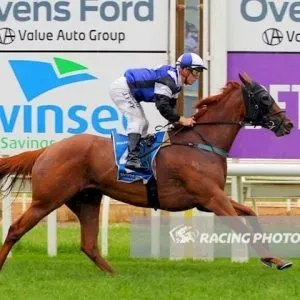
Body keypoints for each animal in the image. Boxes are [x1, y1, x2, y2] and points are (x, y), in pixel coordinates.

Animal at [0, 73, 292, 274]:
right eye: (264, 98)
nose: (287, 123)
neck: (201, 142)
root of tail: (46, 150)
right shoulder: (211, 198)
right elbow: (242, 226)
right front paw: (274, 259)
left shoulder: (210, 199)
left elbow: (250, 213)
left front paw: (275, 259)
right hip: (48, 198)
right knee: (15, 229)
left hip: (87, 199)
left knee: (89, 245)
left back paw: (116, 277)